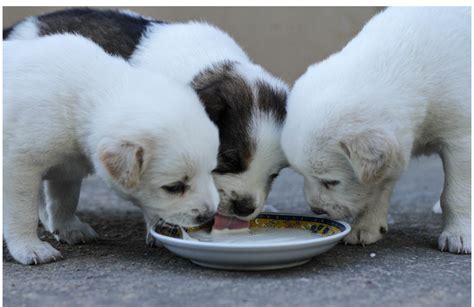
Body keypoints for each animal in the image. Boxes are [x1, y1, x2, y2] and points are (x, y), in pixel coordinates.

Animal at [3, 33, 219, 264]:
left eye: (211, 172)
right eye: (174, 187)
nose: (209, 216)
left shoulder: (67, 169)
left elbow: (64, 200)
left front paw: (69, 228)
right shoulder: (19, 166)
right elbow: (22, 211)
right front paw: (29, 247)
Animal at [282, 7, 470, 255]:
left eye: (331, 182)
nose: (316, 211)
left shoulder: (461, 139)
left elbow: (457, 192)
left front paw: (459, 233)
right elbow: (376, 188)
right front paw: (366, 226)